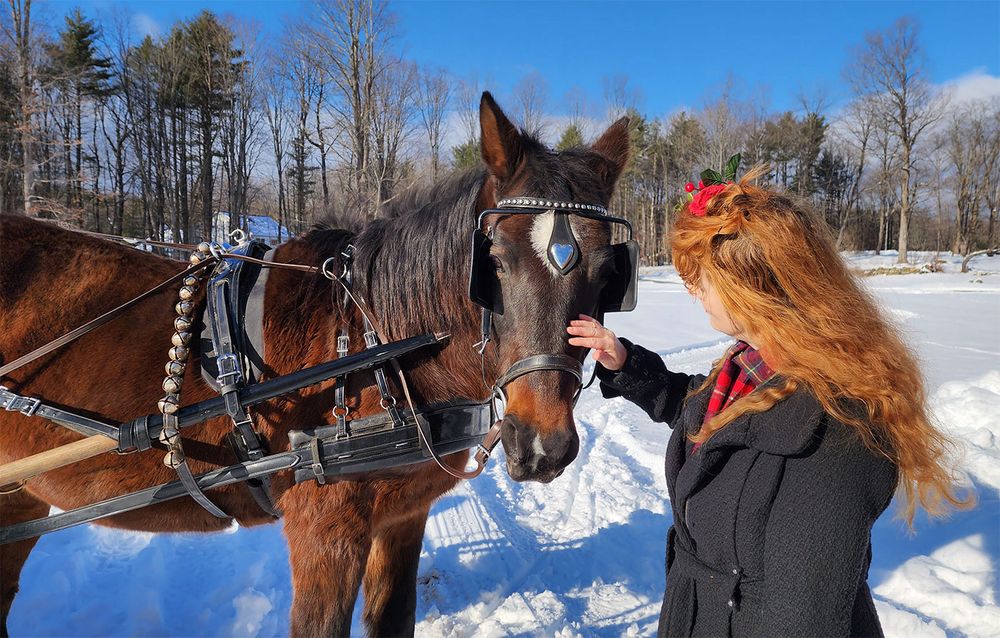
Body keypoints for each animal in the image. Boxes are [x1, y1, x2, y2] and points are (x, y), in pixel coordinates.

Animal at [0, 92, 630, 637]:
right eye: (493, 261)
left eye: (607, 272)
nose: (543, 444)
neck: (376, 344)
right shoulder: (325, 531)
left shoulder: (402, 519)